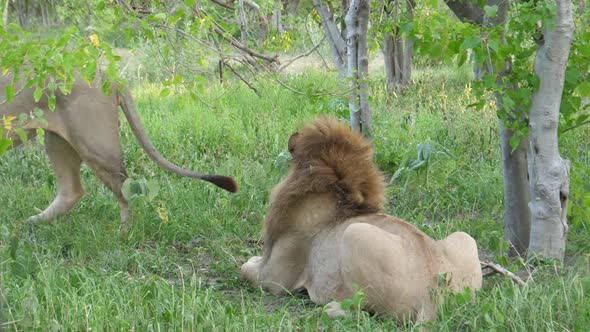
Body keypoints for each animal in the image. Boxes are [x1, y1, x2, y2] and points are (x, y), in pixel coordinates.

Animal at [242, 116, 486, 322]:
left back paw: (330, 307)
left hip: (354, 234)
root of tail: (434, 297)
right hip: (465, 238)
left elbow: (244, 267)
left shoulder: (275, 278)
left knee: (360, 309)